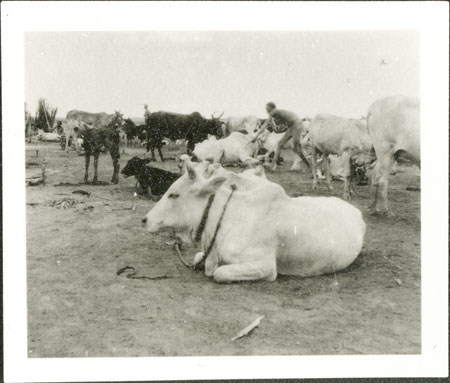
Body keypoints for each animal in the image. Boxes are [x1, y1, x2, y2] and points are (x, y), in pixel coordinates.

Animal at [143, 160, 366, 284]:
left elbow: (219, 273)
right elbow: (200, 258)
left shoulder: (265, 266)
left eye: (174, 195)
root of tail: (356, 211)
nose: (145, 219)